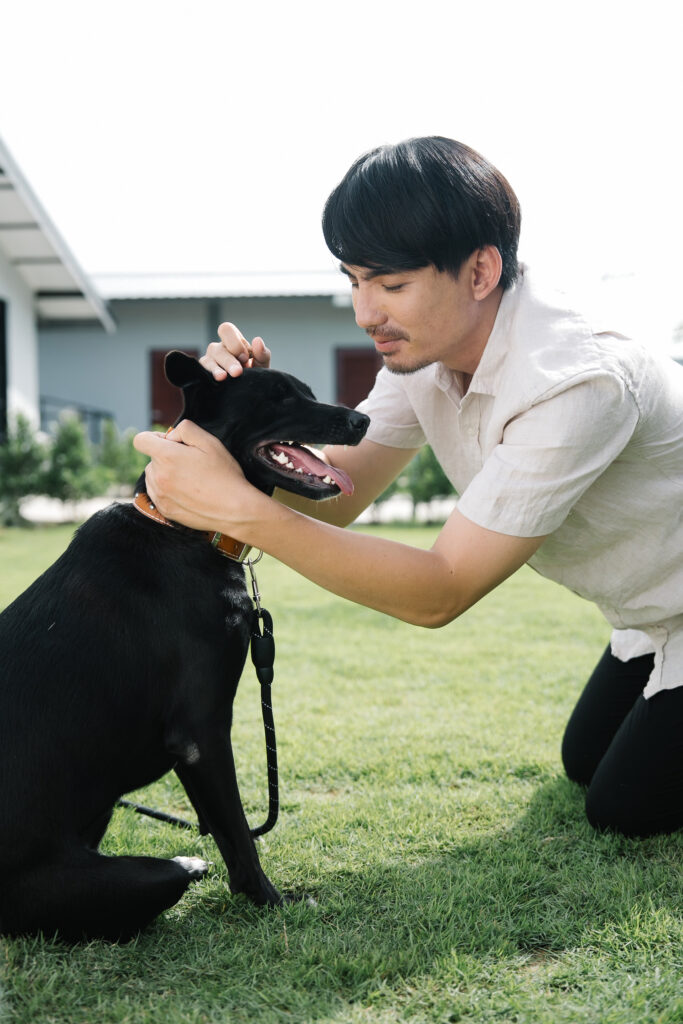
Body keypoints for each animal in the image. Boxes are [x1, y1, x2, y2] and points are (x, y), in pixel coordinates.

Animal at [0, 351, 369, 941]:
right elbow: (238, 833)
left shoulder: (194, 745)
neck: (184, 528)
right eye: (279, 397)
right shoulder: (201, 733)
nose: (363, 421)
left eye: (308, 391)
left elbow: (223, 831)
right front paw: (273, 902)